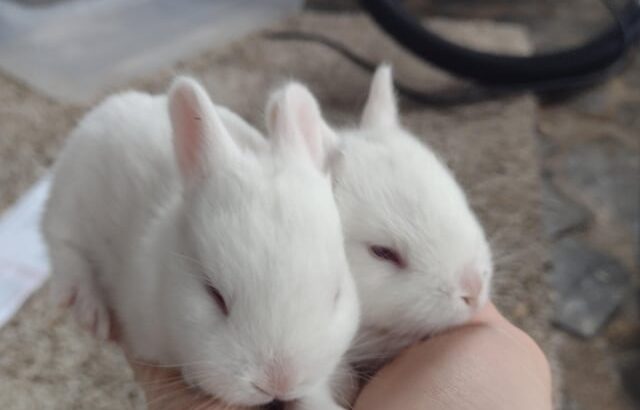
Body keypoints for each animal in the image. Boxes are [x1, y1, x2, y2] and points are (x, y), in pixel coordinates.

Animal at [42, 77, 360, 410]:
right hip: (68, 200)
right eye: (214, 295)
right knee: (61, 244)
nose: (277, 382)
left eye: (336, 293)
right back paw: (86, 305)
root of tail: (110, 106)